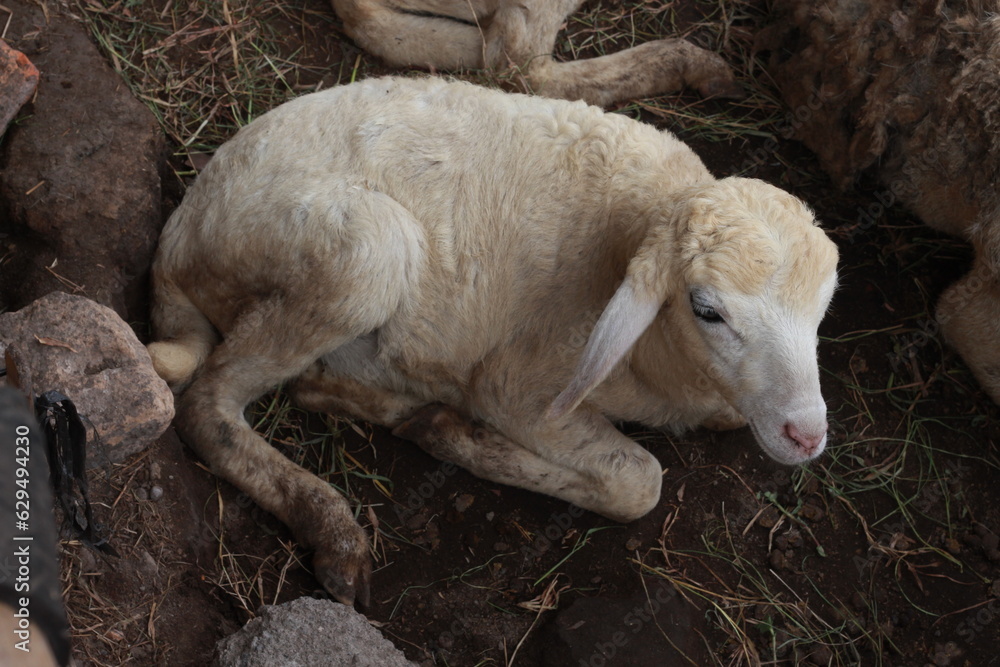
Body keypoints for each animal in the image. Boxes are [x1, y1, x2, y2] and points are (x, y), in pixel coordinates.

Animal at [147, 76, 839, 606]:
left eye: (823, 304)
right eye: (707, 309)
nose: (806, 436)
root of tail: (180, 236)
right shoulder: (521, 389)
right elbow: (639, 483)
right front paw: (465, 439)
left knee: (306, 387)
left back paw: (396, 406)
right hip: (360, 253)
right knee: (206, 406)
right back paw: (337, 530)